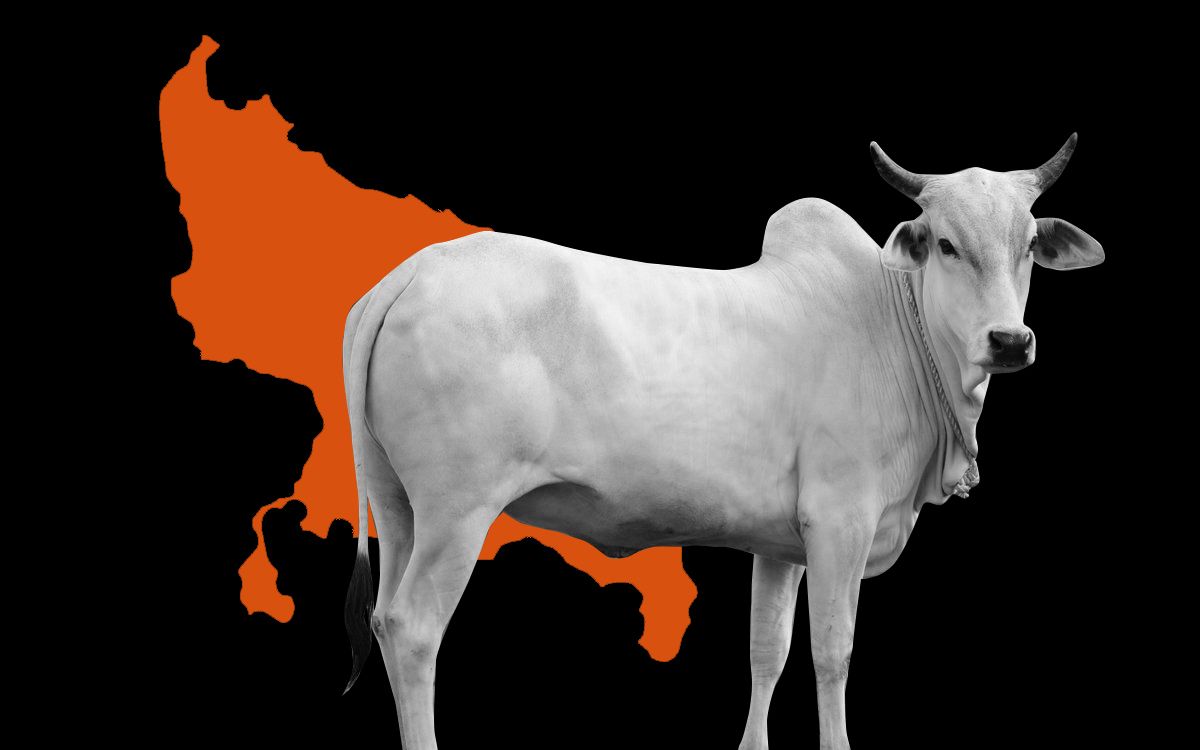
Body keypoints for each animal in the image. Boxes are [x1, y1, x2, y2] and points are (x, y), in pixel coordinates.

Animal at [340, 135, 1103, 749]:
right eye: (946, 244)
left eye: (1028, 247)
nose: (1009, 341)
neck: (895, 324)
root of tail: (411, 274)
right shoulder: (841, 520)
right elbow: (832, 652)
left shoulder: (782, 544)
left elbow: (768, 651)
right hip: (457, 512)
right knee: (413, 628)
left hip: (401, 508)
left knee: (382, 619)